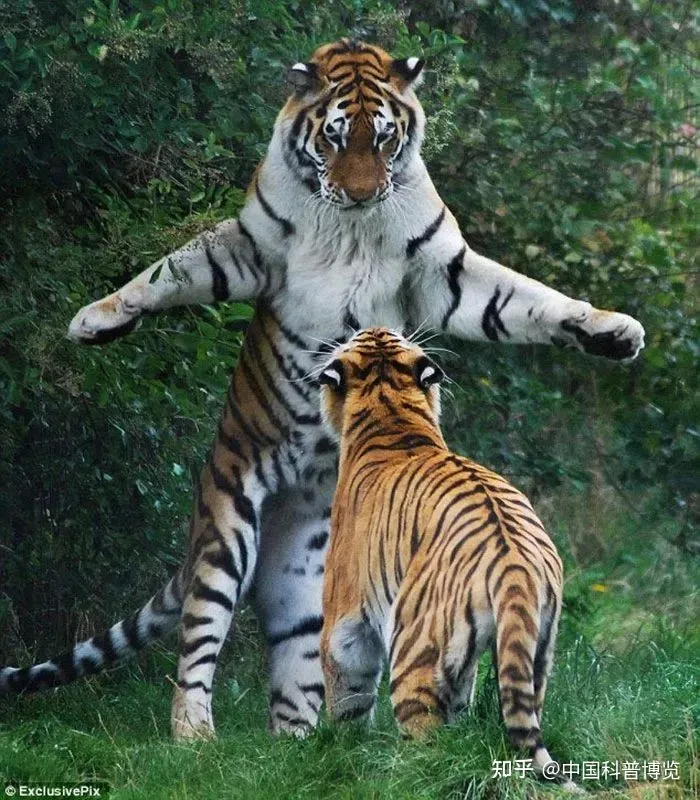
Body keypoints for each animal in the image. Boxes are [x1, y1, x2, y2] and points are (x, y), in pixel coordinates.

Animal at [319, 328, 567, 782]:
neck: (391, 412)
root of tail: (515, 566)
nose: (375, 327)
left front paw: (343, 752)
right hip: (537, 647)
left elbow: (348, 695)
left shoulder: (343, 619)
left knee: (428, 746)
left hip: (413, 649)